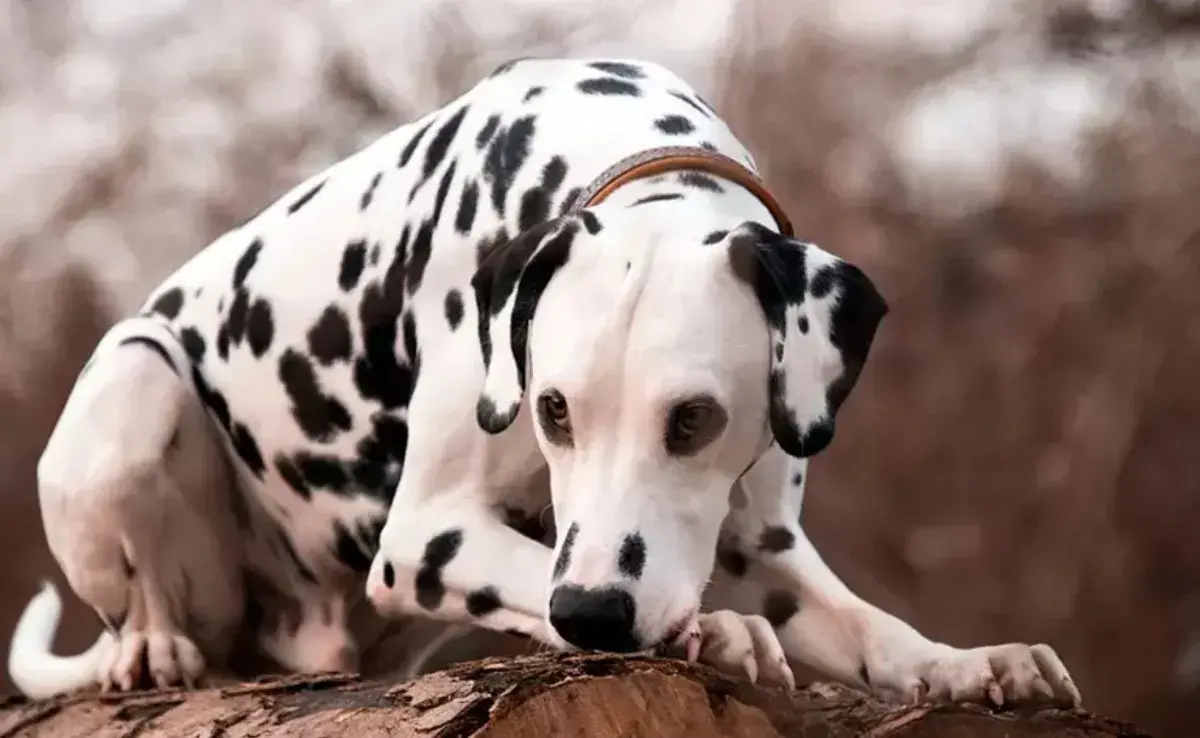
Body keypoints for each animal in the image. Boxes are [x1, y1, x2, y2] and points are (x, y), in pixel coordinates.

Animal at [7, 54, 1080, 705]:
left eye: (695, 419)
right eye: (553, 411)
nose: (596, 615)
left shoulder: (762, 542)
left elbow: (871, 625)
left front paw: (970, 663)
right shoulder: (426, 536)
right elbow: (540, 573)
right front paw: (709, 632)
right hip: (138, 379)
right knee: (145, 599)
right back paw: (153, 647)